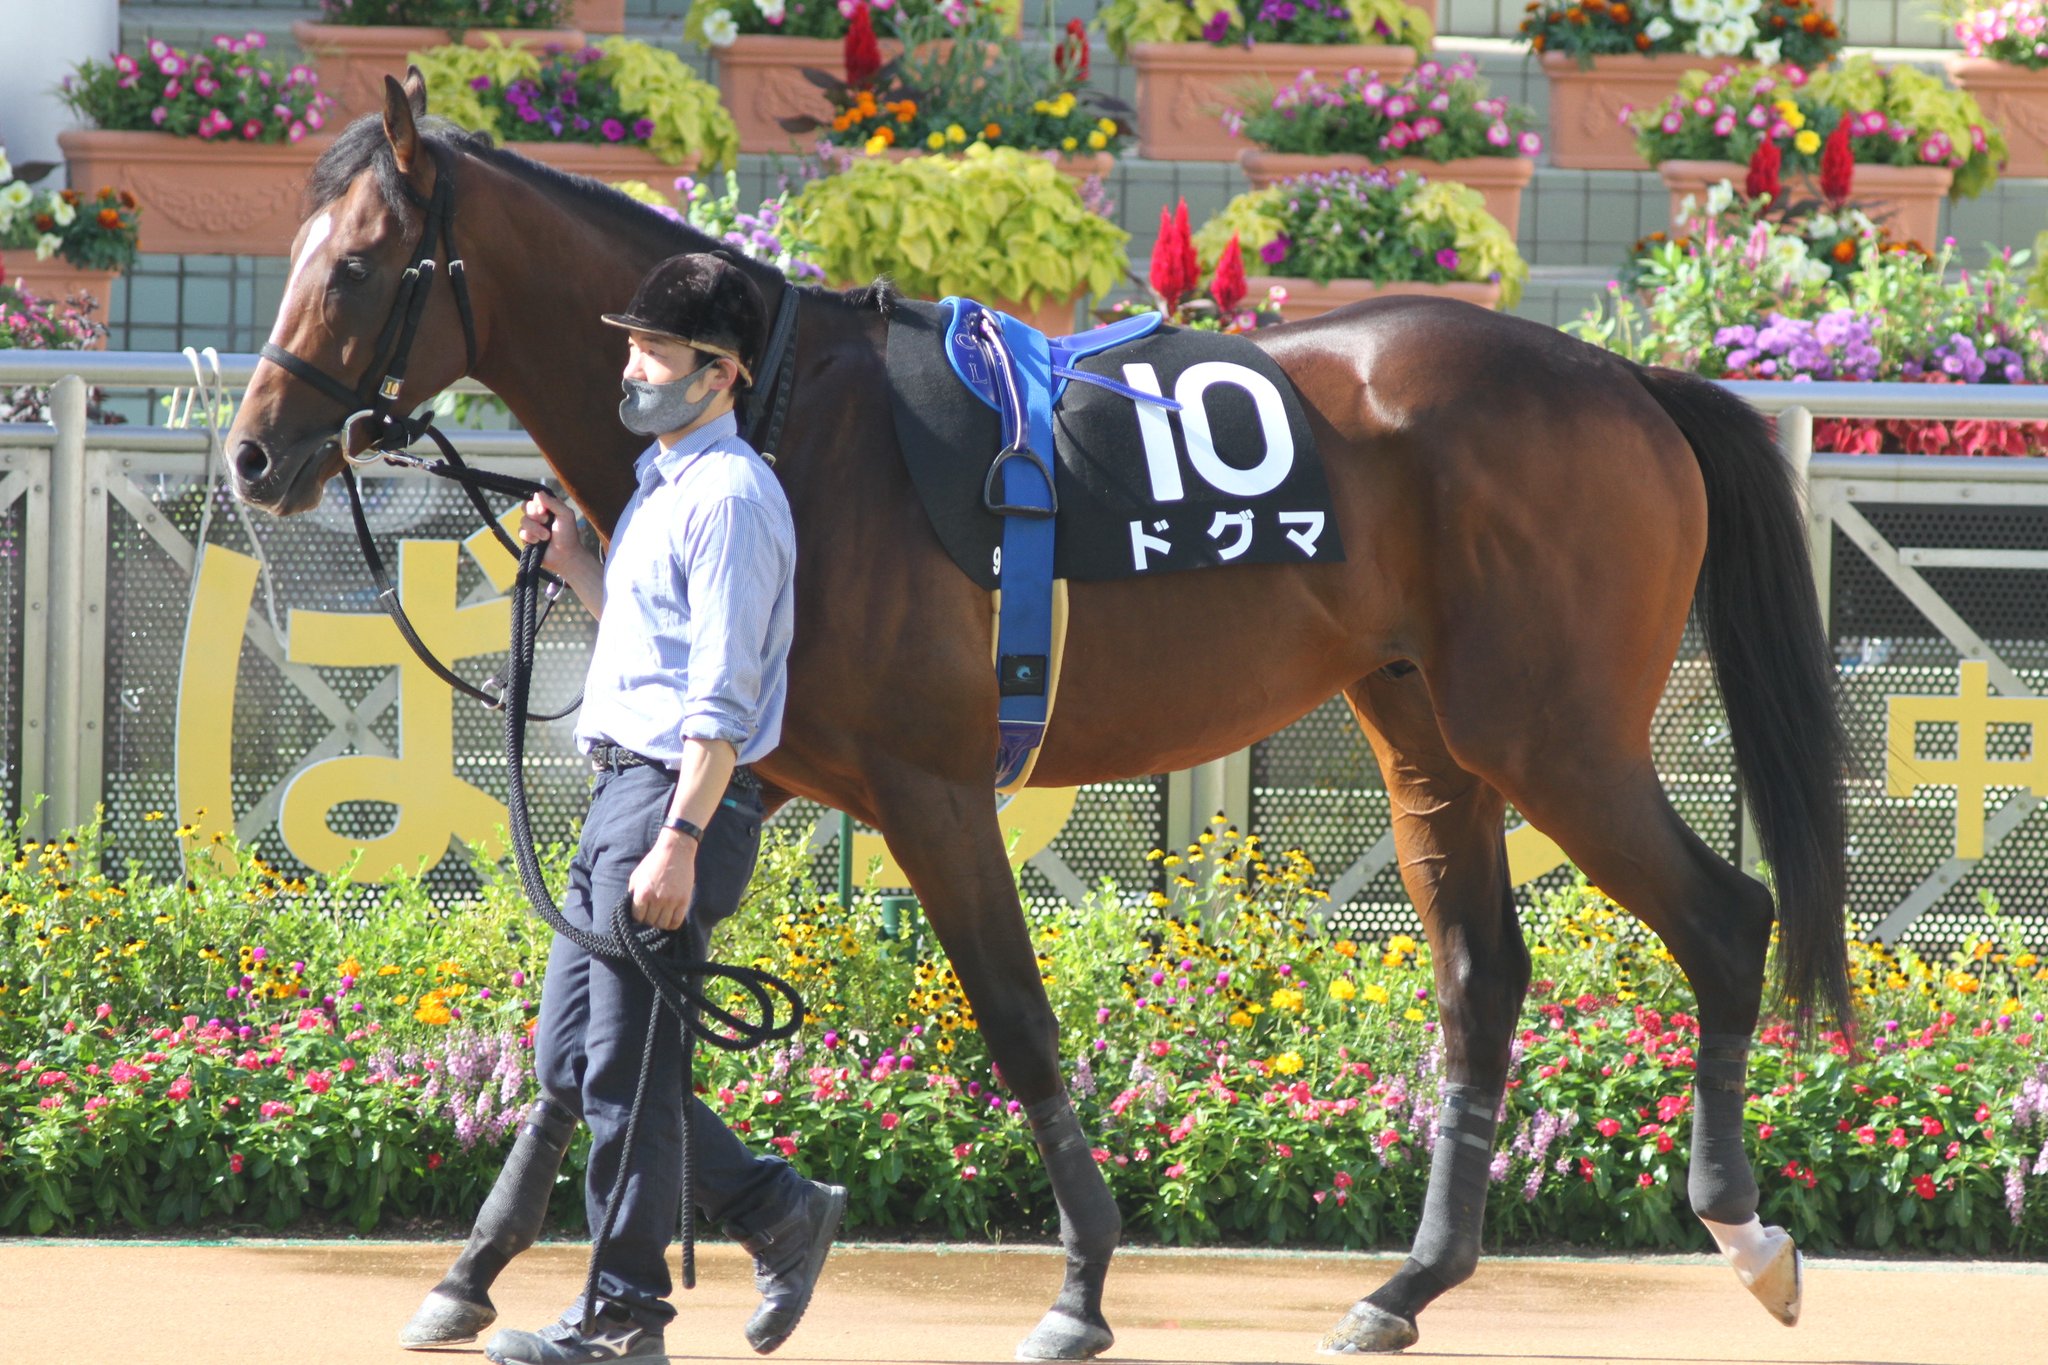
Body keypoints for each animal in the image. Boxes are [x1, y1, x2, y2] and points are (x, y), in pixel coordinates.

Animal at [224, 72, 1852, 1358]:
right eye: (292, 252)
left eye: (359, 263)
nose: (252, 455)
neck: (786, 420)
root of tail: (1626, 379)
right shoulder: (749, 772)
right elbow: (589, 1040)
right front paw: (474, 1273)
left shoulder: (927, 787)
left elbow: (1009, 1019)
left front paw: (1077, 1287)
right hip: (1427, 736)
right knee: (1481, 976)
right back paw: (1405, 1286)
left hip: (1553, 734)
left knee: (1725, 920)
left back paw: (1747, 1235)